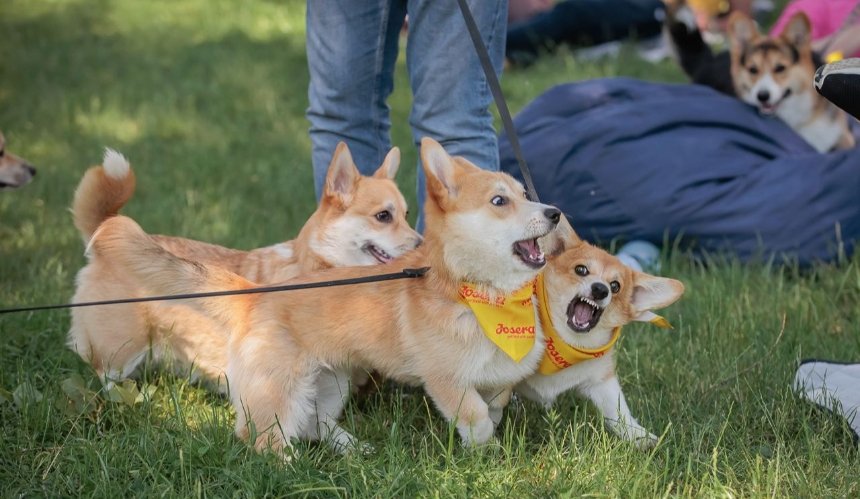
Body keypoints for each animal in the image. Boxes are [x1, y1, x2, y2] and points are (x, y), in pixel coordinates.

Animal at [67, 143, 420, 392]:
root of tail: (103, 230)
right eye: (383, 216)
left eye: (406, 214)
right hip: (122, 347)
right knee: (105, 374)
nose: (421, 245)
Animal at [516, 236, 684, 452]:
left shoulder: (602, 380)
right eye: (581, 270)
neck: (567, 342)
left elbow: (619, 410)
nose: (600, 289)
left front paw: (640, 436)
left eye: (615, 286)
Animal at [664, 2, 852, 152]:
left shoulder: (842, 137)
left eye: (780, 68)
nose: (762, 96)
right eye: (753, 70)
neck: (799, 116)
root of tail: (710, 60)